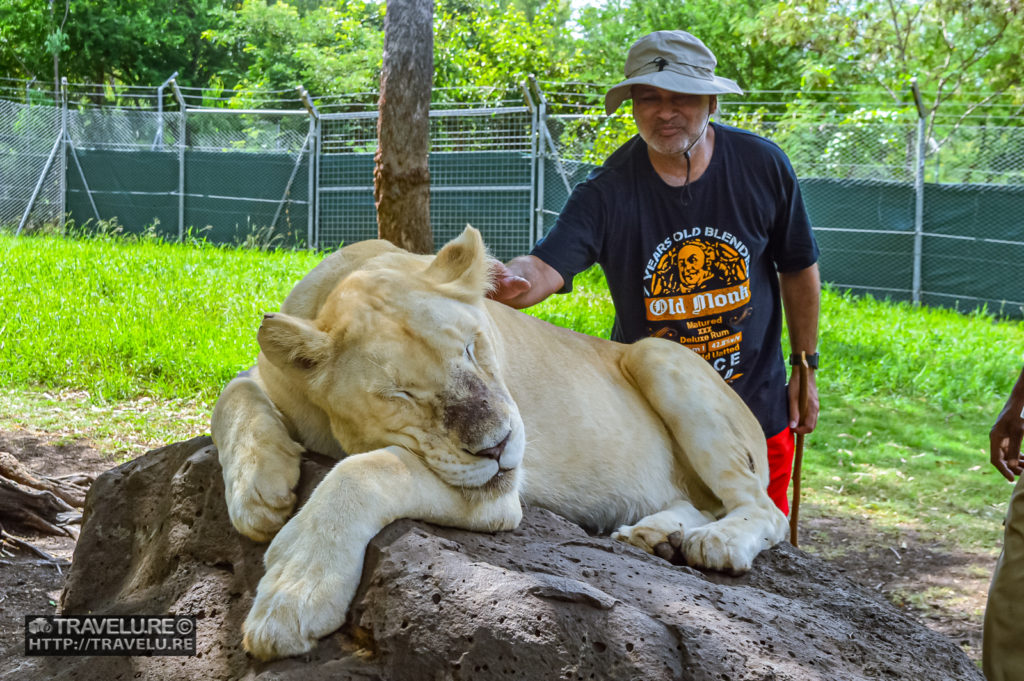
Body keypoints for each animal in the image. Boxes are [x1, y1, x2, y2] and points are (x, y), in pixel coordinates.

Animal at [211, 227, 786, 659]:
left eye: (472, 346)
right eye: (399, 394)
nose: (499, 445)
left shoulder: (499, 497)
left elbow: (369, 467)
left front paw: (293, 593)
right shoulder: (267, 375)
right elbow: (231, 393)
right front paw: (259, 490)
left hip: (656, 354)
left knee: (766, 510)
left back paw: (717, 542)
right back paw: (655, 537)